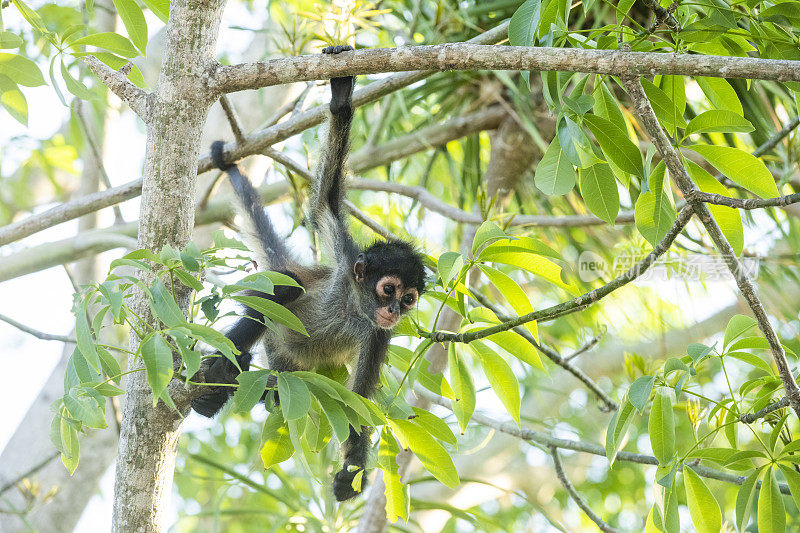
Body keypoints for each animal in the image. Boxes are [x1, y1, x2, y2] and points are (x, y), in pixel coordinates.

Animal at [191, 45, 428, 502]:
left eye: (408, 300)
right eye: (388, 289)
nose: (393, 311)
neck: (355, 307)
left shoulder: (378, 336)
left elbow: (360, 398)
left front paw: (352, 473)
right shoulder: (347, 257)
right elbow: (326, 201)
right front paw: (341, 96)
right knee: (287, 290)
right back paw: (221, 371)